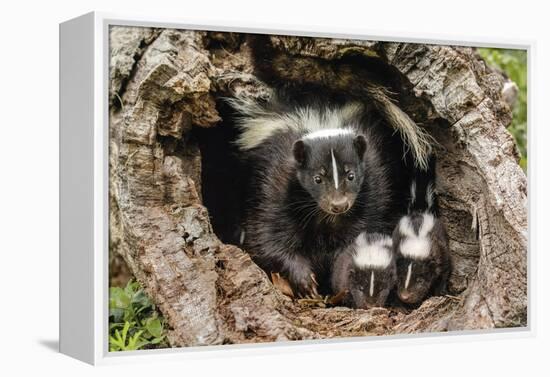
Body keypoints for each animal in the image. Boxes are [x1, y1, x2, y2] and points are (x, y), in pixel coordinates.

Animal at [394, 157, 454, 304]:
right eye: (400, 277)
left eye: (420, 280)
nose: (405, 296)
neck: (417, 237)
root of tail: (420, 210)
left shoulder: (440, 251)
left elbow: (445, 270)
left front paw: (440, 292)